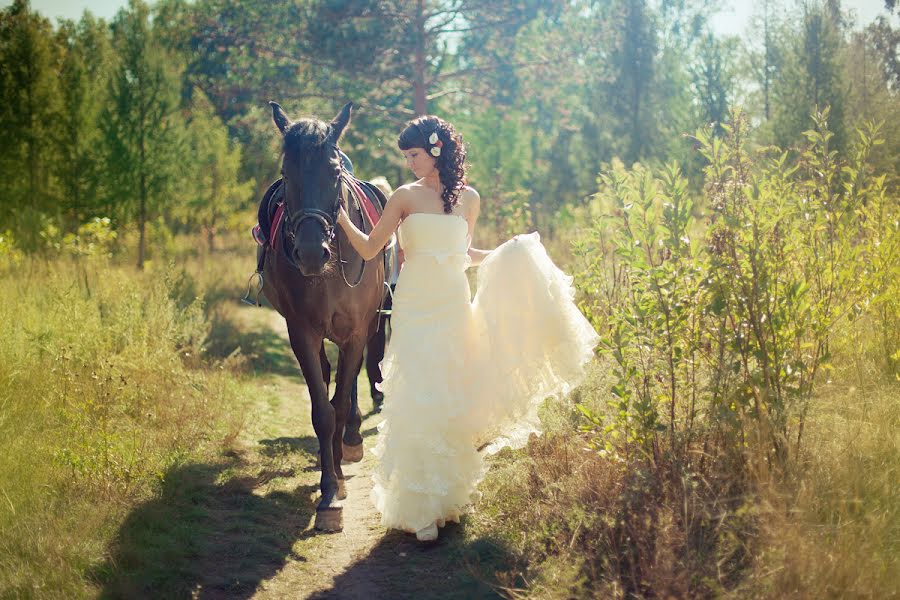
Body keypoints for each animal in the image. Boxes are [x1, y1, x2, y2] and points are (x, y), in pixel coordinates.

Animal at [262, 102, 384, 528]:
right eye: (286, 173)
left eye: (333, 173)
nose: (312, 253)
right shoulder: (301, 332)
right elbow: (322, 412)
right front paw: (329, 492)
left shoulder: (356, 332)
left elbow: (341, 401)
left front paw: (340, 471)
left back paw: (351, 441)